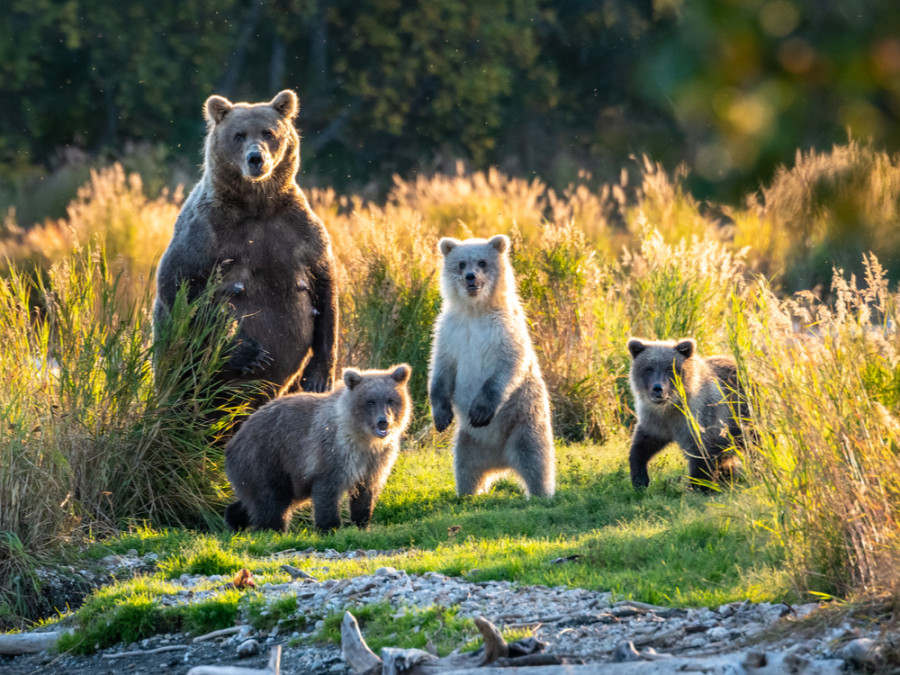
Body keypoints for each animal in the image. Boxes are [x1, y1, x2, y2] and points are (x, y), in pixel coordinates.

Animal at [155, 90, 338, 406]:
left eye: (269, 133)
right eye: (239, 135)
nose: (256, 158)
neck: (257, 205)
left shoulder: (298, 228)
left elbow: (325, 285)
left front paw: (318, 376)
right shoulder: (206, 230)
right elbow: (178, 282)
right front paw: (248, 352)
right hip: (178, 364)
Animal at [225, 364, 412, 532]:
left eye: (390, 400)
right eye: (370, 402)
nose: (383, 422)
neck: (363, 438)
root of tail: (234, 439)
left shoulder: (376, 459)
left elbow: (366, 492)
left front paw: (362, 524)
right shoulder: (333, 452)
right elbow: (327, 491)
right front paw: (330, 528)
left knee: (257, 500)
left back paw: (234, 521)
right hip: (265, 458)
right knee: (271, 501)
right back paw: (274, 530)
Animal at [428, 235, 556, 500]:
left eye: (482, 262)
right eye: (461, 263)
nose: (471, 277)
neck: (476, 311)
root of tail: (501, 462)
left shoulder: (504, 331)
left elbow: (506, 367)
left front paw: (480, 411)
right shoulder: (449, 332)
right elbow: (440, 370)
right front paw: (441, 416)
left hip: (524, 421)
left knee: (535, 458)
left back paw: (541, 493)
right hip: (468, 441)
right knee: (465, 467)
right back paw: (468, 493)